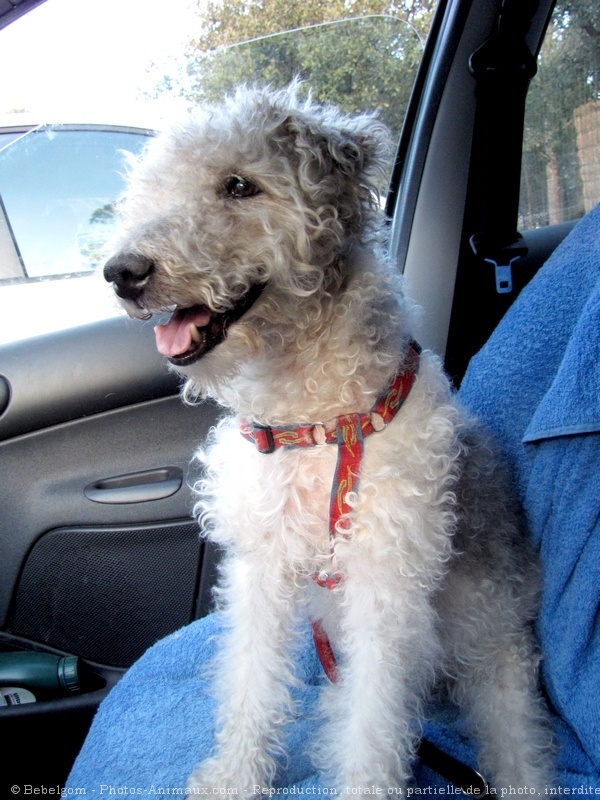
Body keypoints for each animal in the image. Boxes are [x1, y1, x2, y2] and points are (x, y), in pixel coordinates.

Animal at [102, 81, 552, 792]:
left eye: (240, 185)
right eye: (154, 186)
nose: (122, 272)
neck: (314, 421)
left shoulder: (385, 585)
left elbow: (373, 726)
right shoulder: (261, 565)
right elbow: (251, 681)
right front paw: (234, 777)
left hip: (499, 664)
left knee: (519, 747)